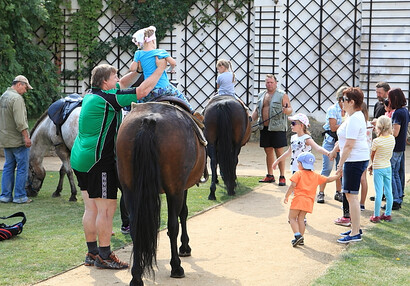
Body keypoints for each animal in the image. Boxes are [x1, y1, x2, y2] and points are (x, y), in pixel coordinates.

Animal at [116, 101, 207, 284]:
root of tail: (149, 120)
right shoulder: (181, 188)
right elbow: (183, 214)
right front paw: (184, 247)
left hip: (130, 189)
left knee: (136, 227)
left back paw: (136, 276)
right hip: (174, 188)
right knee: (173, 226)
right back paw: (176, 267)